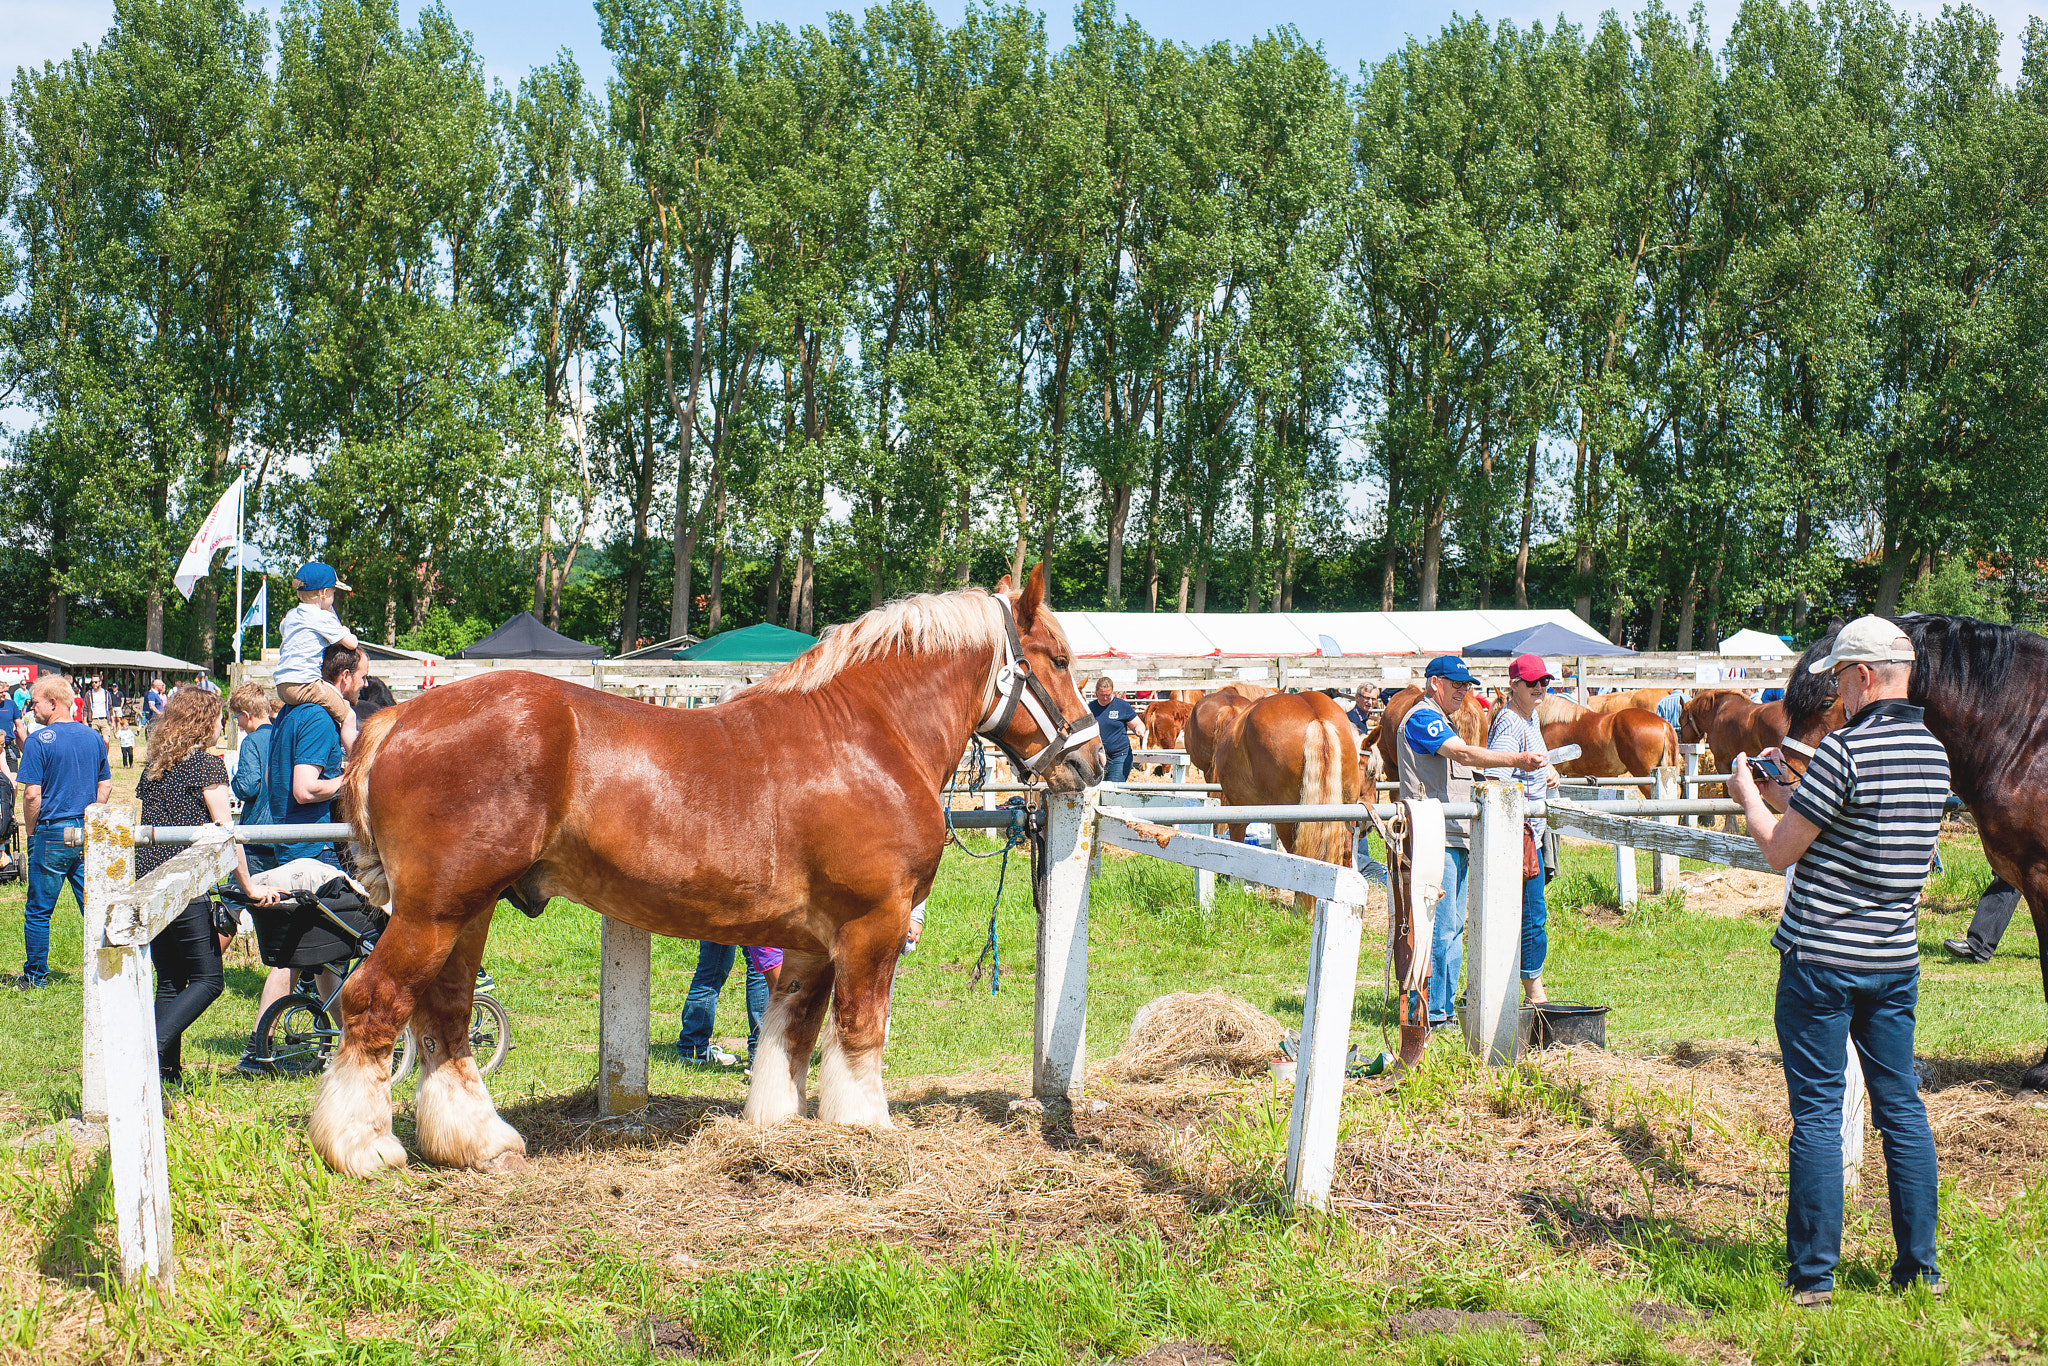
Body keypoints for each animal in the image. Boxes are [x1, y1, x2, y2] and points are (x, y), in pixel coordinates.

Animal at [311, 566, 1103, 1177]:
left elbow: (788, 1035)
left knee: (445, 1017)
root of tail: (396, 722)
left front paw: (776, 1126)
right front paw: (863, 1127)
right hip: (434, 911)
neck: (870, 737)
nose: (1092, 760)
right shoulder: (871, 926)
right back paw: (362, 1148)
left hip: (467, 912)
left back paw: (479, 1143)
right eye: (1060, 660)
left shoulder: (811, 944)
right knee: (373, 1001)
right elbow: (859, 1035)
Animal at [1209, 692, 1369, 913]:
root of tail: (1316, 717)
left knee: (1298, 854)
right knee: (1343, 851)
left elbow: (1235, 846)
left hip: (1287, 819)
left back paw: (1301, 909)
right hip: (1345, 813)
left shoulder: (1236, 810)